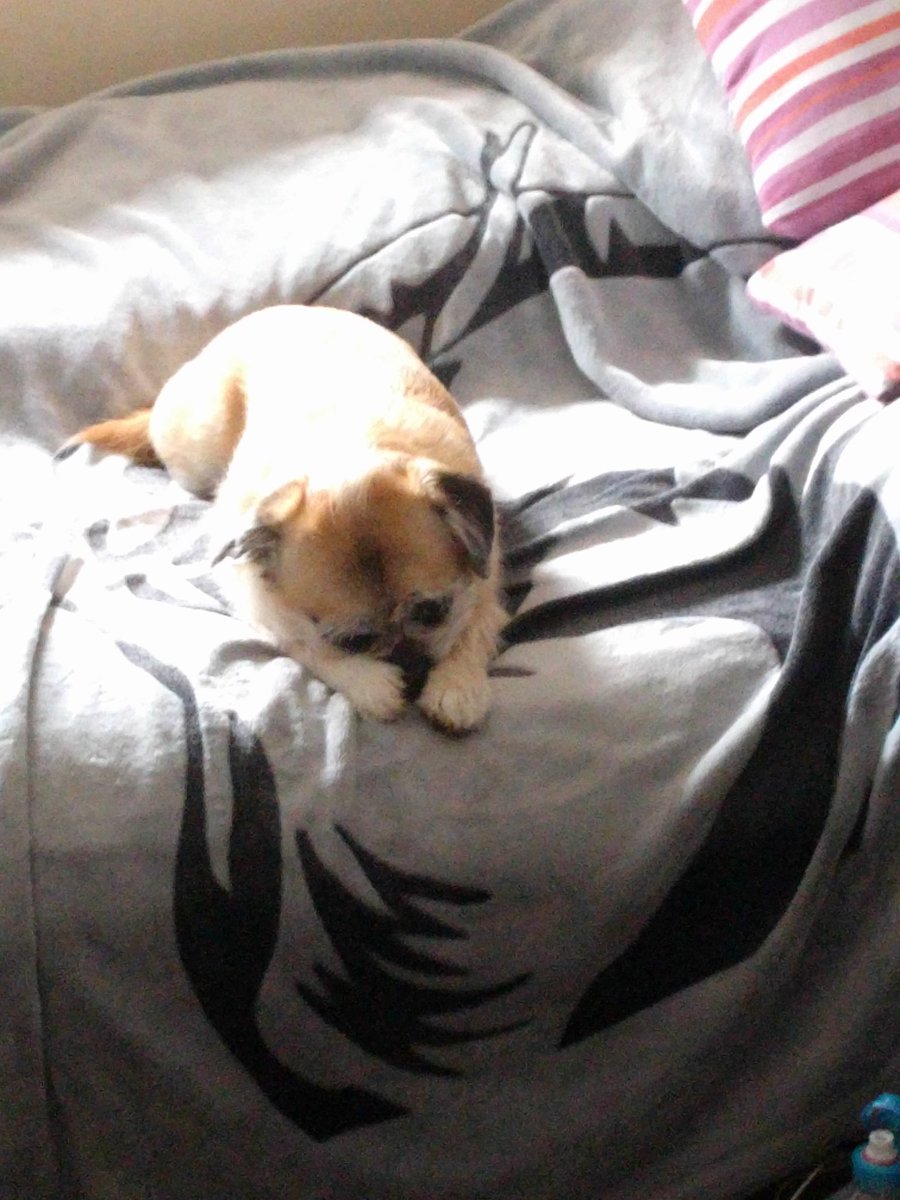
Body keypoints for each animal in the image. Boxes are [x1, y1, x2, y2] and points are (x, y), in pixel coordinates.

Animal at [67, 305, 507, 732]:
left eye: (434, 613)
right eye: (350, 642)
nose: (413, 670)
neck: (351, 447)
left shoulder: (485, 571)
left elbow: (477, 622)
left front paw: (459, 686)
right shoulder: (256, 600)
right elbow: (303, 643)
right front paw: (371, 684)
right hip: (197, 448)